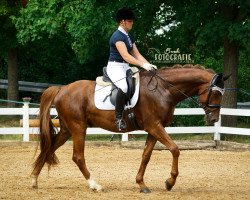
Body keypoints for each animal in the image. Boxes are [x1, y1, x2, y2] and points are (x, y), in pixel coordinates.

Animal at [30, 64, 229, 192]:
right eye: (216, 93)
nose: (214, 118)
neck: (164, 89)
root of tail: (62, 89)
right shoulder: (154, 126)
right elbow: (175, 149)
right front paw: (170, 182)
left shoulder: (154, 129)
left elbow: (146, 155)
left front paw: (141, 184)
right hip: (78, 128)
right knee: (78, 157)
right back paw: (95, 185)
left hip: (66, 130)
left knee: (49, 148)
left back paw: (34, 180)